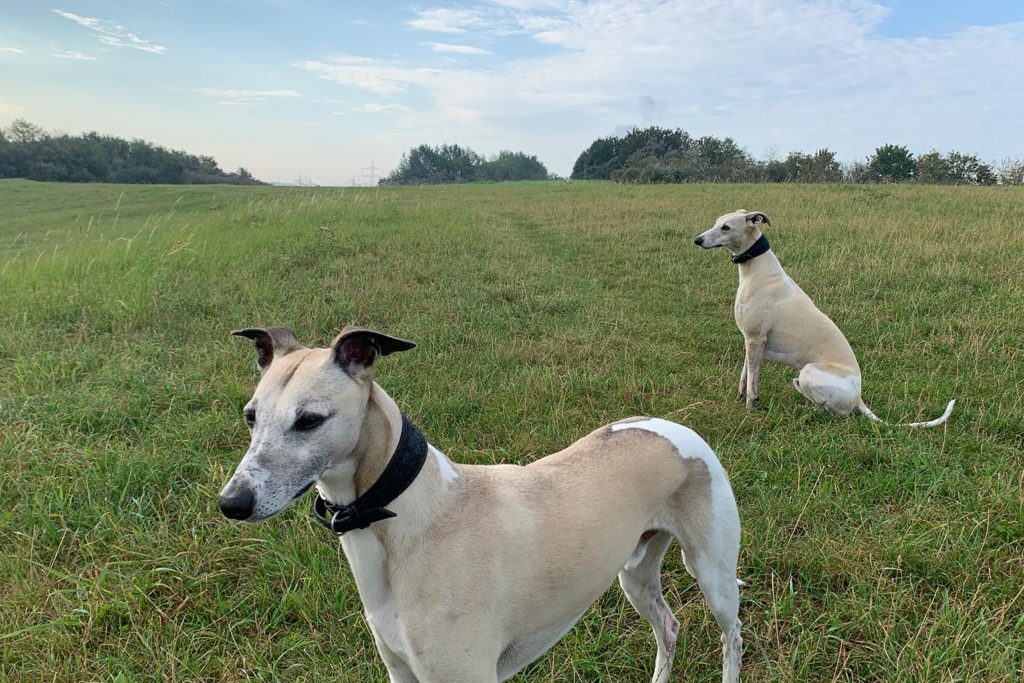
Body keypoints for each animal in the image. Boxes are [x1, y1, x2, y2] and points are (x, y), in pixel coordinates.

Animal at [218, 327, 745, 683]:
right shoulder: (401, 670)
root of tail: (675, 426)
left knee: (732, 634)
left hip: (713, 573)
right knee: (669, 627)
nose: (231, 503)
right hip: (634, 573)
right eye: (250, 416)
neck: (408, 515)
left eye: (309, 420)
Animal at [692, 209, 954, 428]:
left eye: (726, 227)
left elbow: (752, 384)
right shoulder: (750, 339)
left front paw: (749, 408)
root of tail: (858, 397)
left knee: (838, 412)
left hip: (809, 372)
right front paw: (739, 398)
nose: (697, 240)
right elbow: (745, 376)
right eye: (715, 222)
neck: (757, 270)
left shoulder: (756, 338)